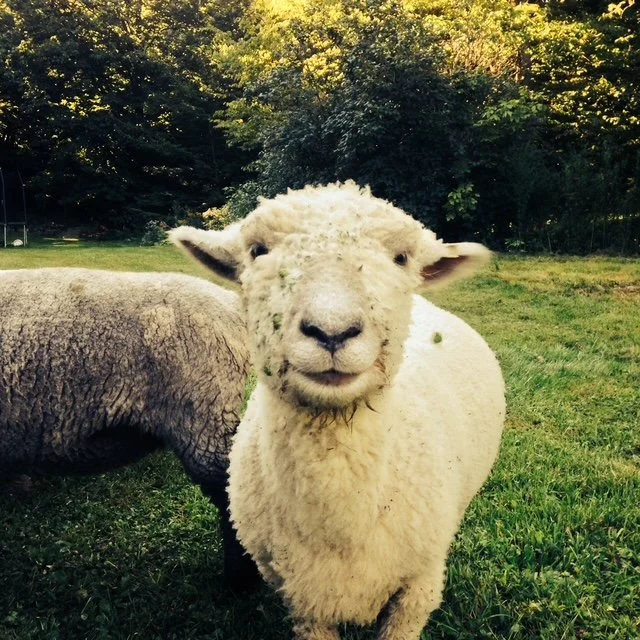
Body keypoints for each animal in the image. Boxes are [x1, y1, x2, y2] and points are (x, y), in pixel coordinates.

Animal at [171, 181, 506, 639]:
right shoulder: (304, 601)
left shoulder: (417, 589)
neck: (341, 522)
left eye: (402, 258)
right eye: (257, 250)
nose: (332, 330)